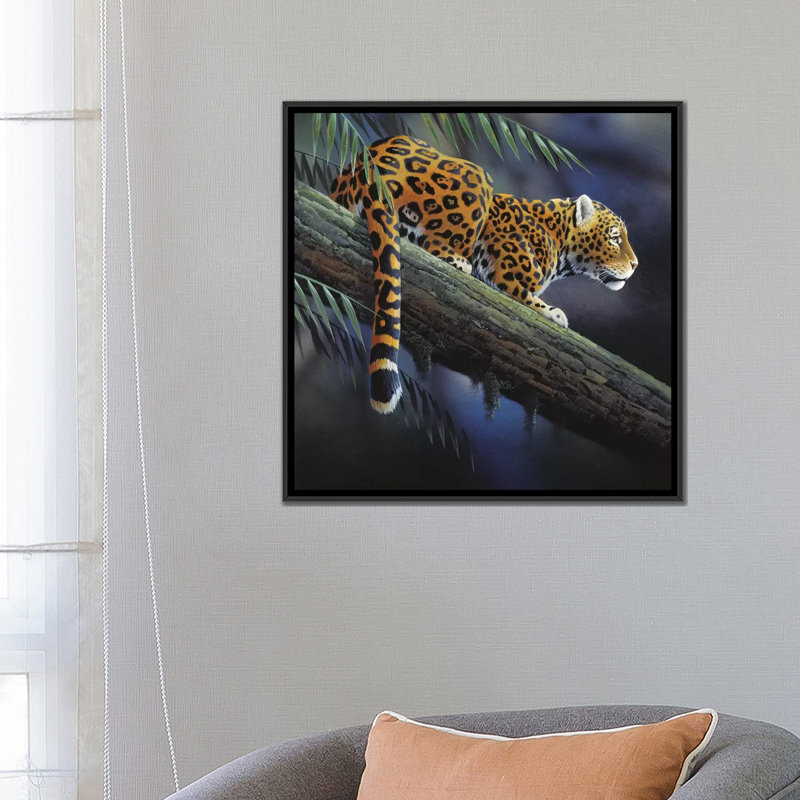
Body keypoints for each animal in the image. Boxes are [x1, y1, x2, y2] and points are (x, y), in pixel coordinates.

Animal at [329, 134, 638, 413]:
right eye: (614, 238)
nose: (635, 264)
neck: (560, 242)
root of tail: (372, 168)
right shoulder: (505, 270)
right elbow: (526, 296)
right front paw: (553, 312)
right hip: (479, 179)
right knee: (432, 242)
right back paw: (460, 261)